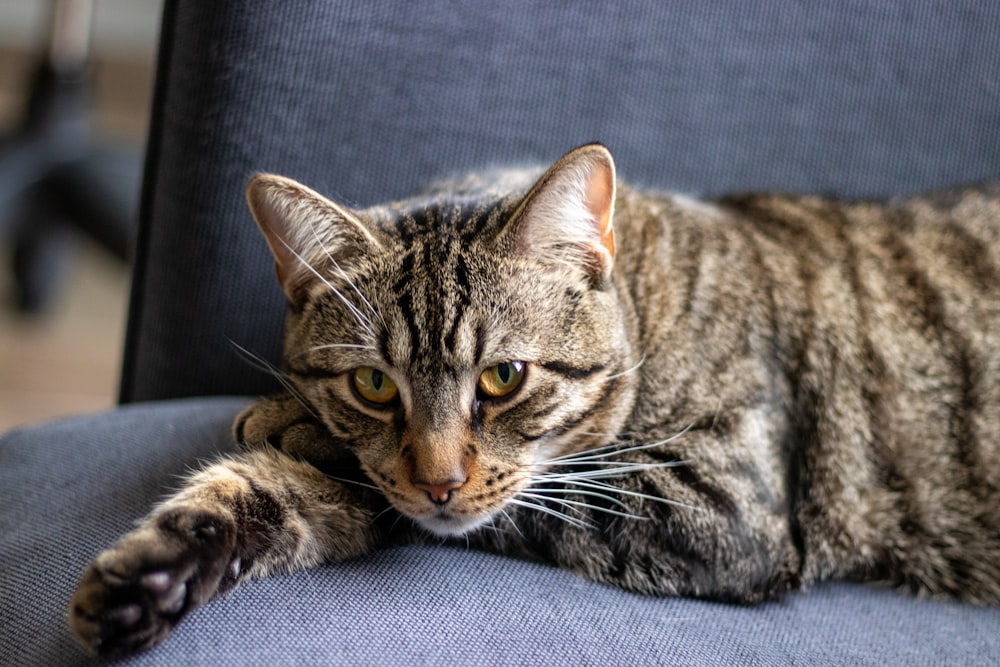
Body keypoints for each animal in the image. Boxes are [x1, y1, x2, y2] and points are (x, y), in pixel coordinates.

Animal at [68, 145, 1000, 656]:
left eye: (504, 377)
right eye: (375, 382)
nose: (439, 479)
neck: (649, 300)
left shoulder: (724, 507)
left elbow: (531, 499)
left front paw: (289, 419)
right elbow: (259, 498)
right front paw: (153, 575)